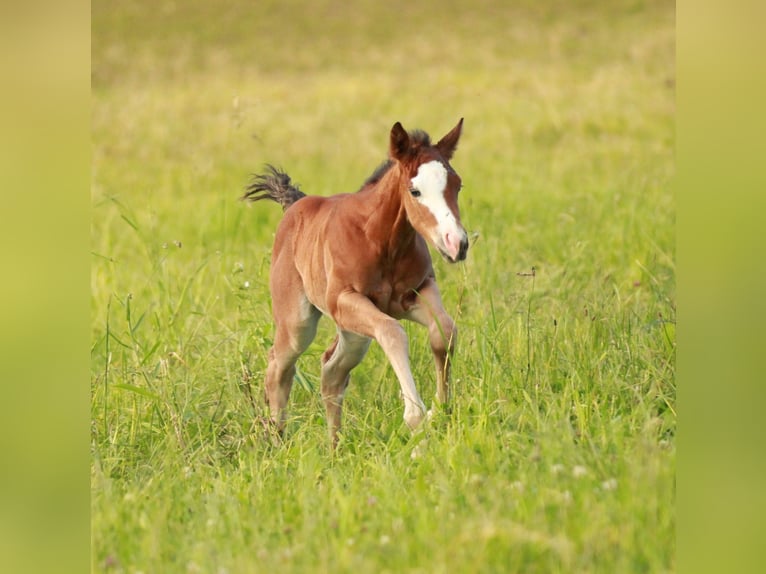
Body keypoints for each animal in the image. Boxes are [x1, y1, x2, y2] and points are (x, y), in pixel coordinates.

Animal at [242, 119, 468, 446]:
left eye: (457, 185)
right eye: (415, 191)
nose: (457, 244)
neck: (381, 240)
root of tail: (296, 202)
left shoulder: (417, 292)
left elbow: (445, 331)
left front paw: (441, 410)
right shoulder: (345, 301)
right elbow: (393, 332)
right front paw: (416, 419)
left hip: (354, 335)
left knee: (331, 370)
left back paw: (334, 447)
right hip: (299, 322)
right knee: (278, 366)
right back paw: (276, 439)